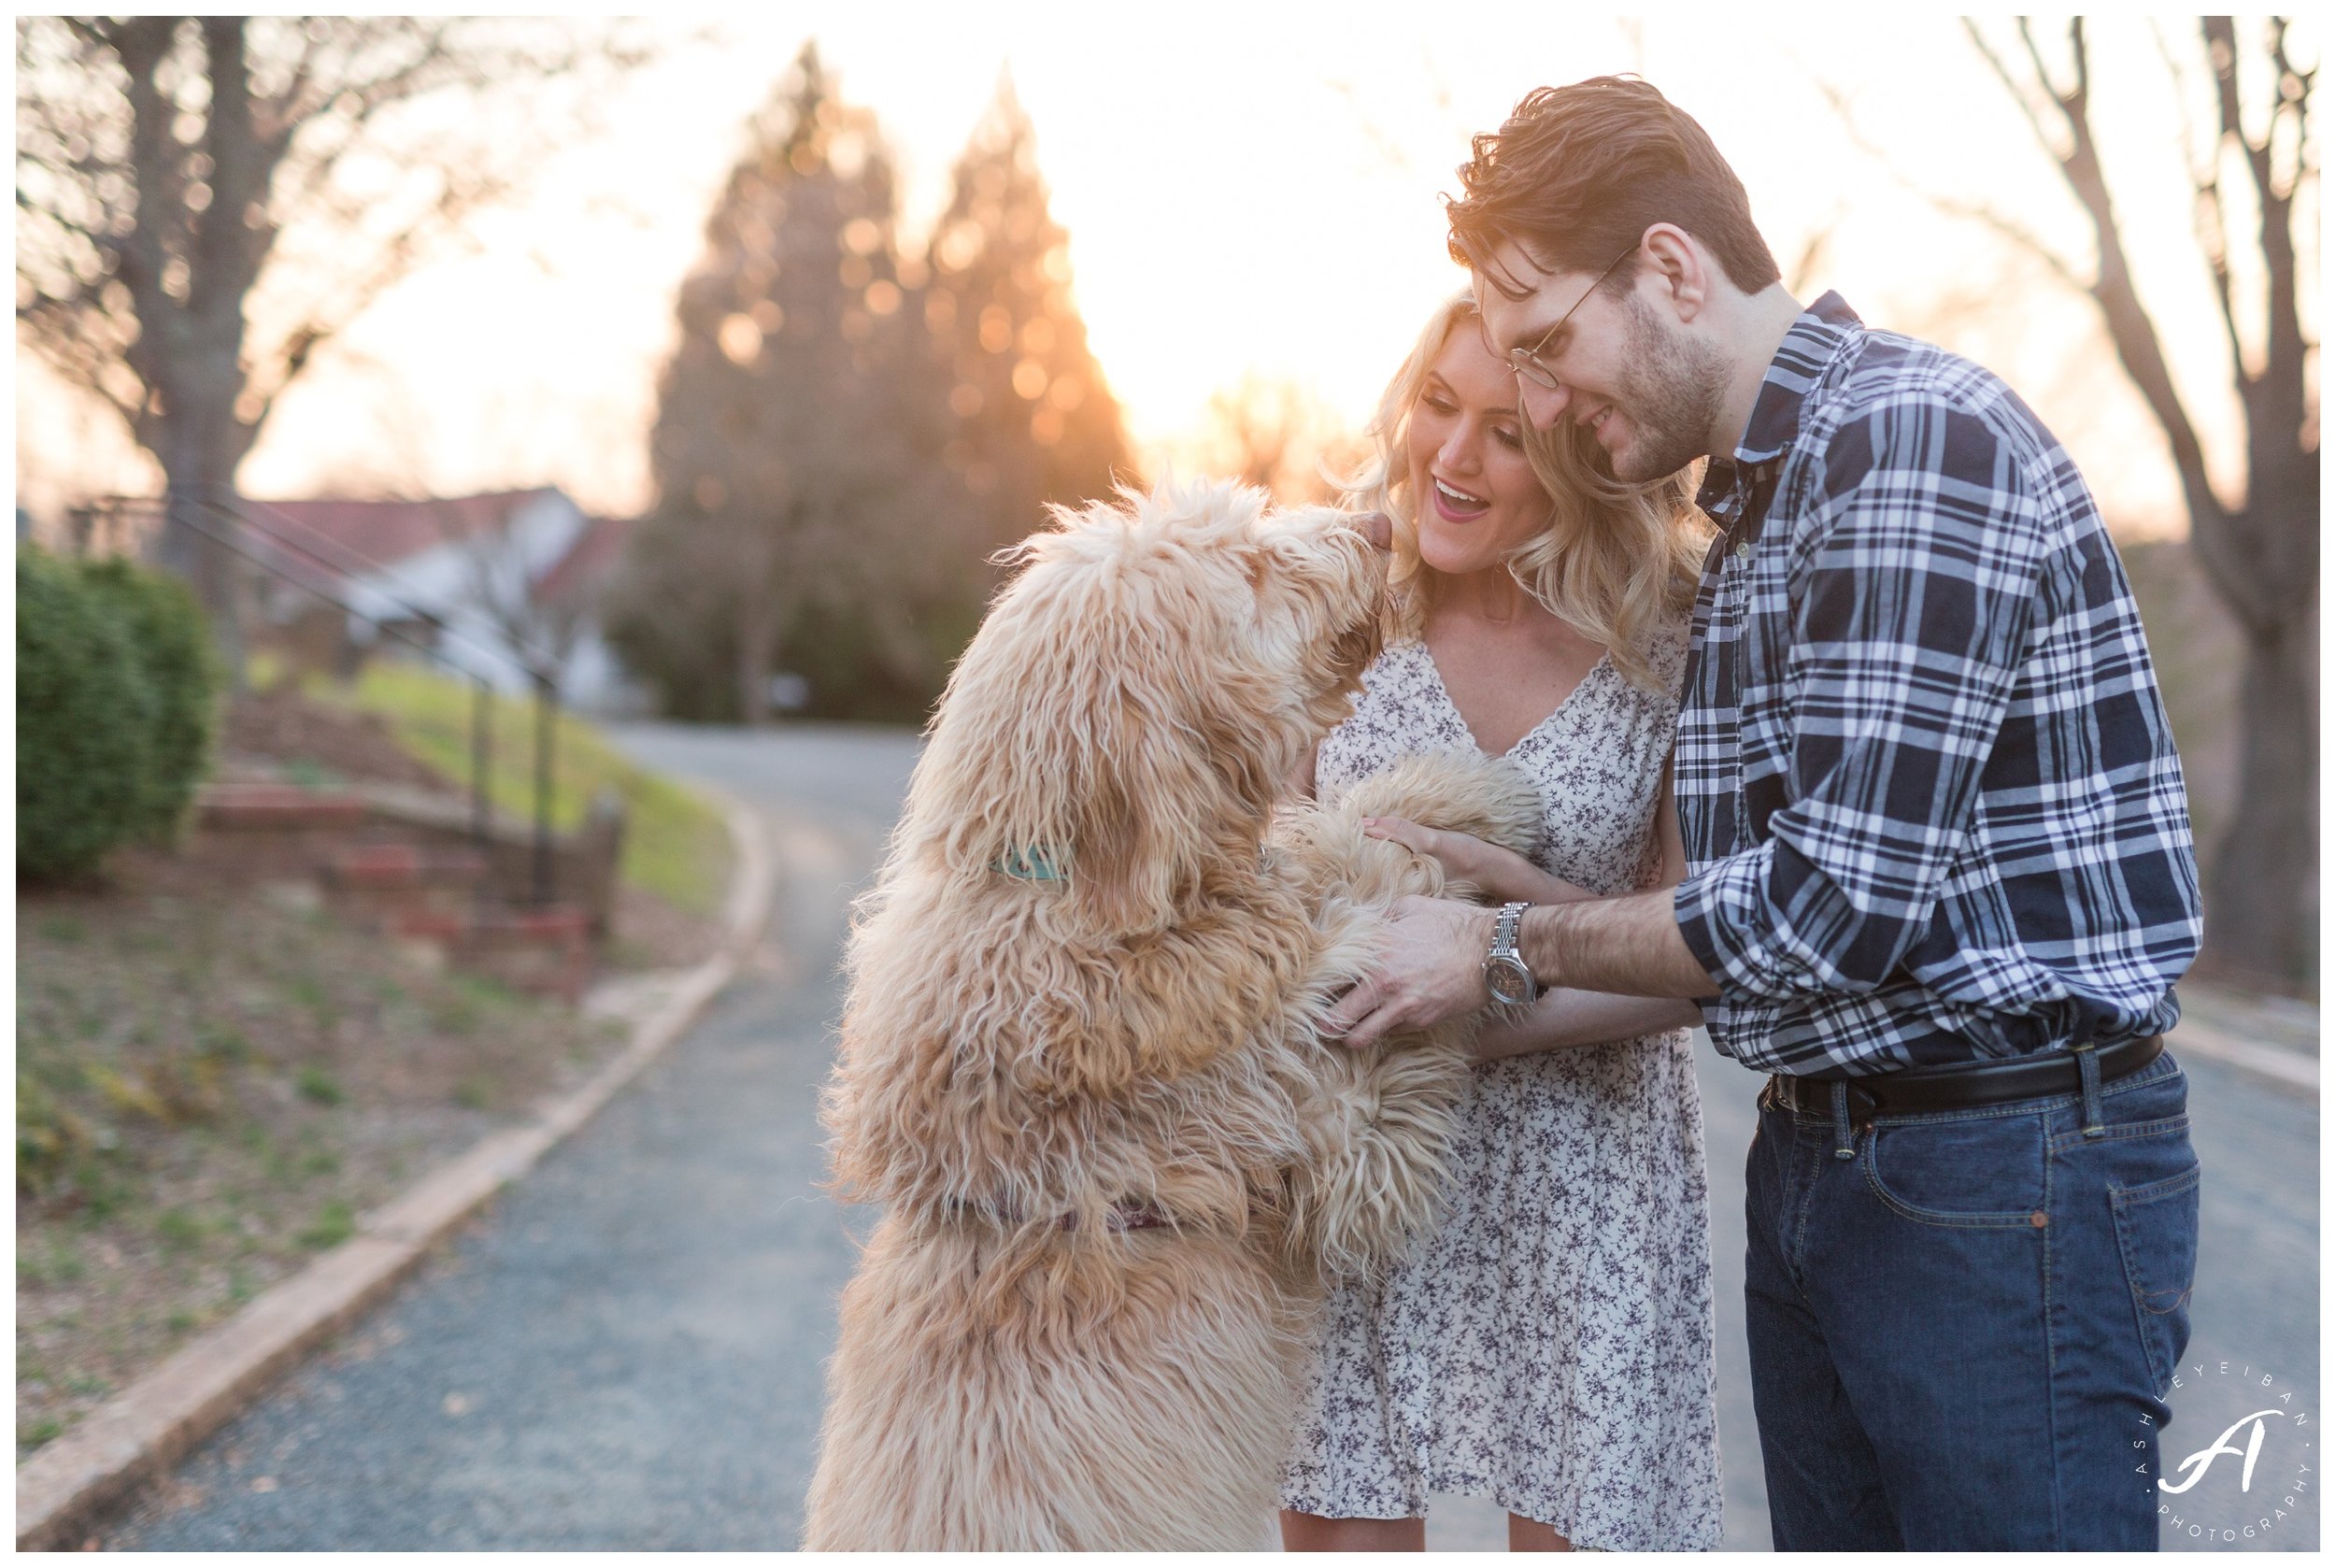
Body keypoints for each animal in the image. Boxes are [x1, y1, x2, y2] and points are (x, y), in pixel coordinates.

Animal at [808, 481, 1551, 1561]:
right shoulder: (1344, 1138)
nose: (1378, 523)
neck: (1082, 913)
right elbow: (1360, 884)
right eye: (1250, 569)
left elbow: (1338, 834)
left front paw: (1459, 795)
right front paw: (1463, 815)